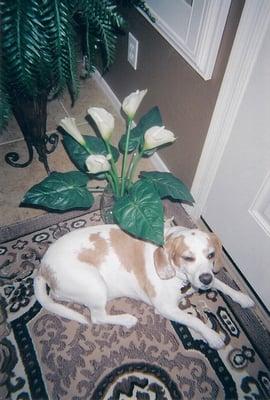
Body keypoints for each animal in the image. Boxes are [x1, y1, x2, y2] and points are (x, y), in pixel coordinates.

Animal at [34, 223, 255, 348]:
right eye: (188, 258)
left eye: (211, 255)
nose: (205, 280)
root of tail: (42, 267)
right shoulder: (167, 309)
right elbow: (194, 320)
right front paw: (211, 335)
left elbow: (223, 284)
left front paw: (242, 297)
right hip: (95, 284)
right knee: (97, 317)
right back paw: (126, 319)